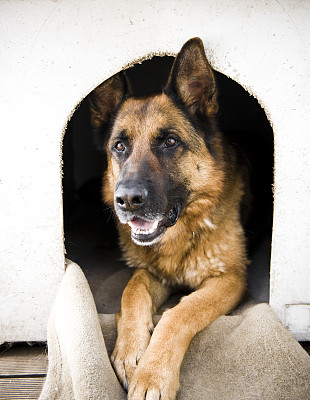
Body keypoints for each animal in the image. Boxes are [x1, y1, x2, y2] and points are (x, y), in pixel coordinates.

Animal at [89, 36, 247, 396]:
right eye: (119, 146)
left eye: (170, 141)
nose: (127, 200)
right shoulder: (152, 272)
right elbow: (132, 289)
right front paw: (130, 352)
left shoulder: (230, 280)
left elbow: (180, 312)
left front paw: (153, 374)